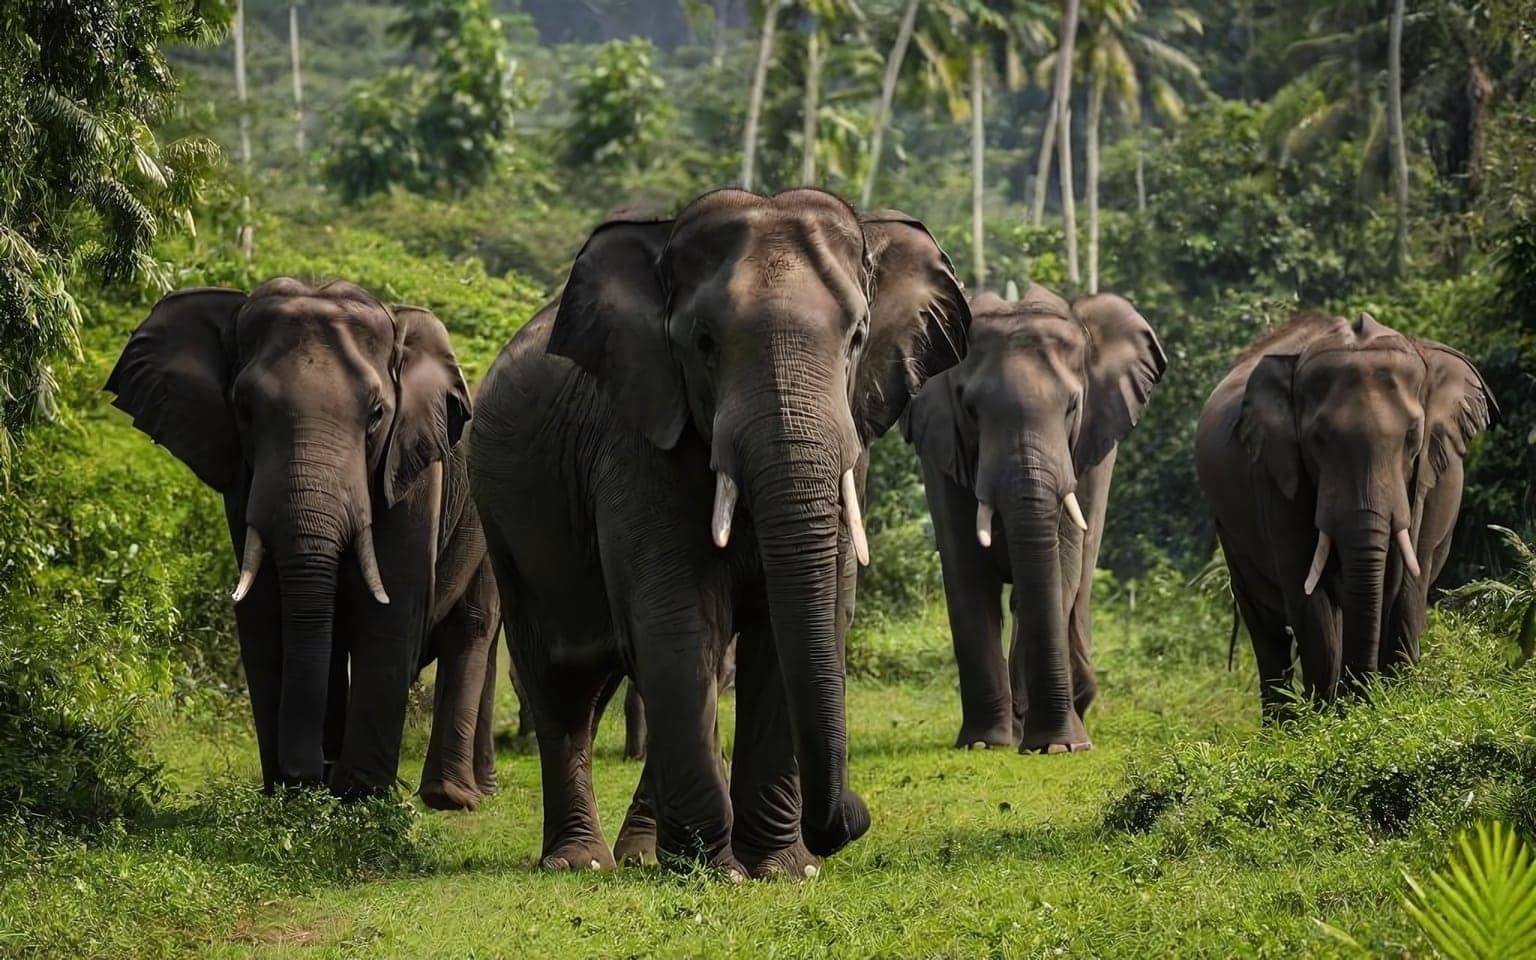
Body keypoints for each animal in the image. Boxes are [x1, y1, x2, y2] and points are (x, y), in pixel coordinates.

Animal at [106, 279, 501, 808]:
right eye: (244, 410)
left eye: (376, 415)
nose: (309, 770)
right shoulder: (243, 477)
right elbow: (264, 608)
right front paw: (295, 791)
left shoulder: (415, 469)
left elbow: (394, 604)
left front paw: (359, 794)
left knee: (473, 626)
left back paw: (451, 797)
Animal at [470, 188, 970, 877]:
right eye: (703, 342)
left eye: (858, 336)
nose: (853, 818)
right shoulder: (636, 440)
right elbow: (675, 619)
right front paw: (718, 870)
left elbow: (786, 632)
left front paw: (780, 871)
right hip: (503, 519)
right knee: (561, 676)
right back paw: (582, 863)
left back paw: (640, 856)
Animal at [901, 286, 1167, 753]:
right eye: (971, 410)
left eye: (1073, 406)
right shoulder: (941, 451)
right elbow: (967, 570)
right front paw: (984, 744)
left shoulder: (1080, 457)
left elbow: (1059, 564)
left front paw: (1057, 746)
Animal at [1195, 311, 1498, 713]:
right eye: (1317, 440)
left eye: (1412, 438)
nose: (1366, 696)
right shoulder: (1275, 477)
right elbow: (1308, 595)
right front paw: (1330, 718)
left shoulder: (1425, 483)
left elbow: (1405, 584)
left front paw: (1385, 706)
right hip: (1230, 530)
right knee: (1267, 626)